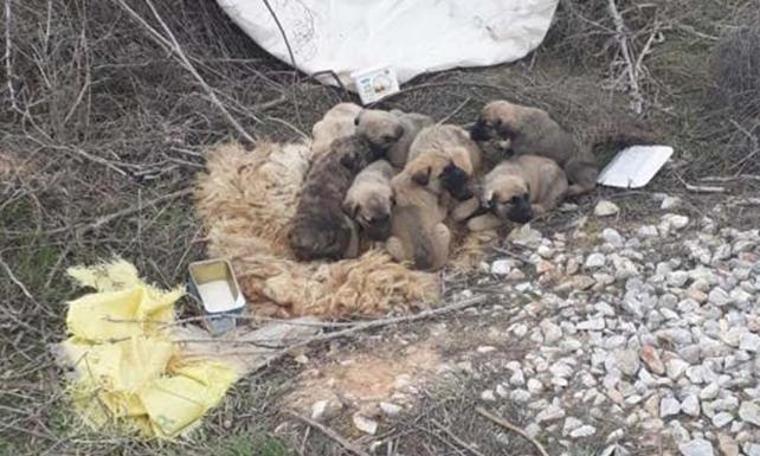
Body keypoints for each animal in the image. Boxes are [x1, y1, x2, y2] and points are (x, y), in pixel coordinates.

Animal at [470, 100, 600, 197]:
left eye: (487, 125)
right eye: (479, 119)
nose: (471, 133)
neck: (520, 121)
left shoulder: (521, 154)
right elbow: (510, 143)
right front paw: (504, 143)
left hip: (571, 166)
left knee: (589, 184)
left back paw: (573, 189)